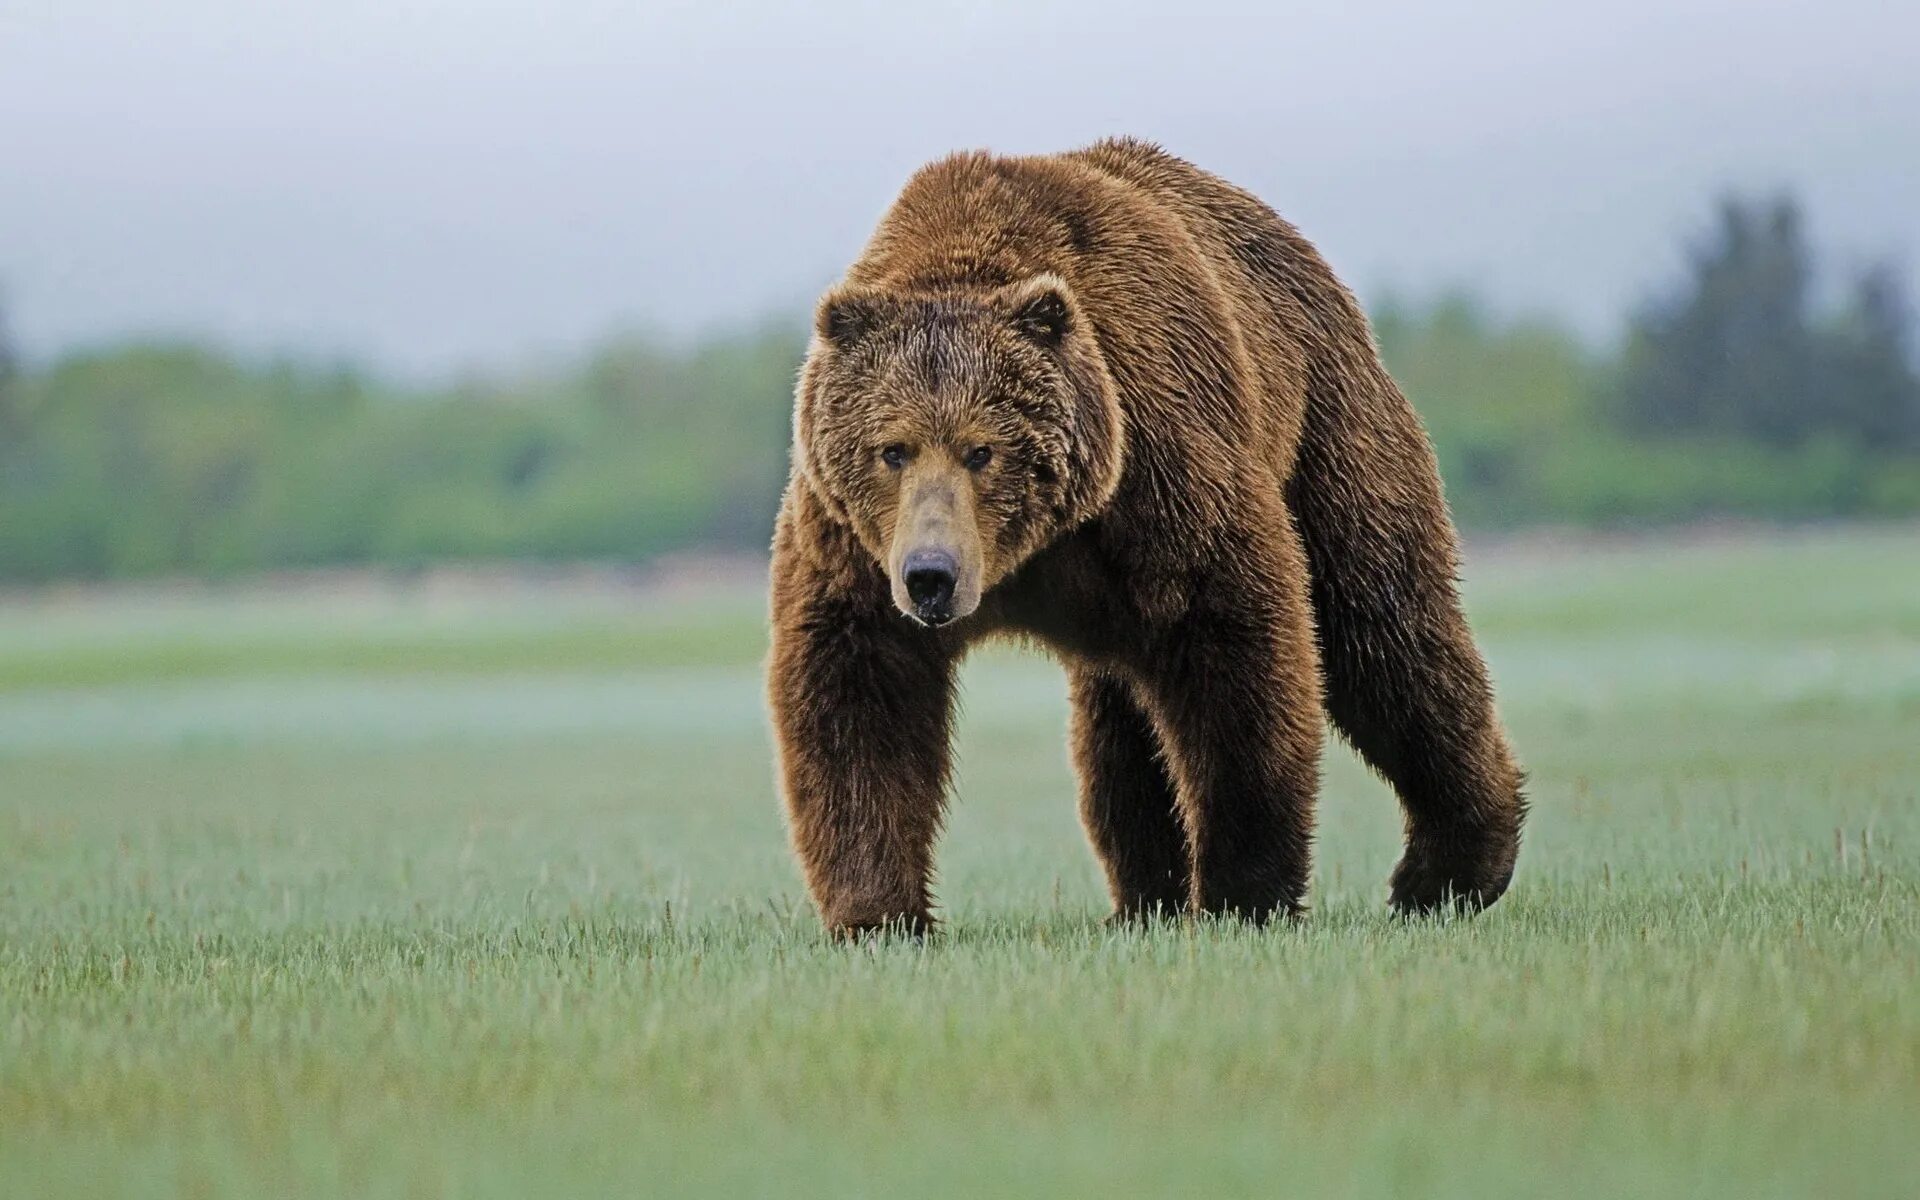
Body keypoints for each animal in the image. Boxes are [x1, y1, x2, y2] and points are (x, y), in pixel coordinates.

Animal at [768, 135, 1528, 933]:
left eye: (983, 449)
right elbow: (859, 693)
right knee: (1121, 726)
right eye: (893, 449)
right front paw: (878, 913)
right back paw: (1144, 898)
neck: (1034, 550)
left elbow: (1237, 656)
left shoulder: (1161, 471)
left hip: (1328, 427)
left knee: (1384, 631)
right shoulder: (852, 544)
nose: (931, 575)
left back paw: (1447, 872)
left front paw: (1243, 893)